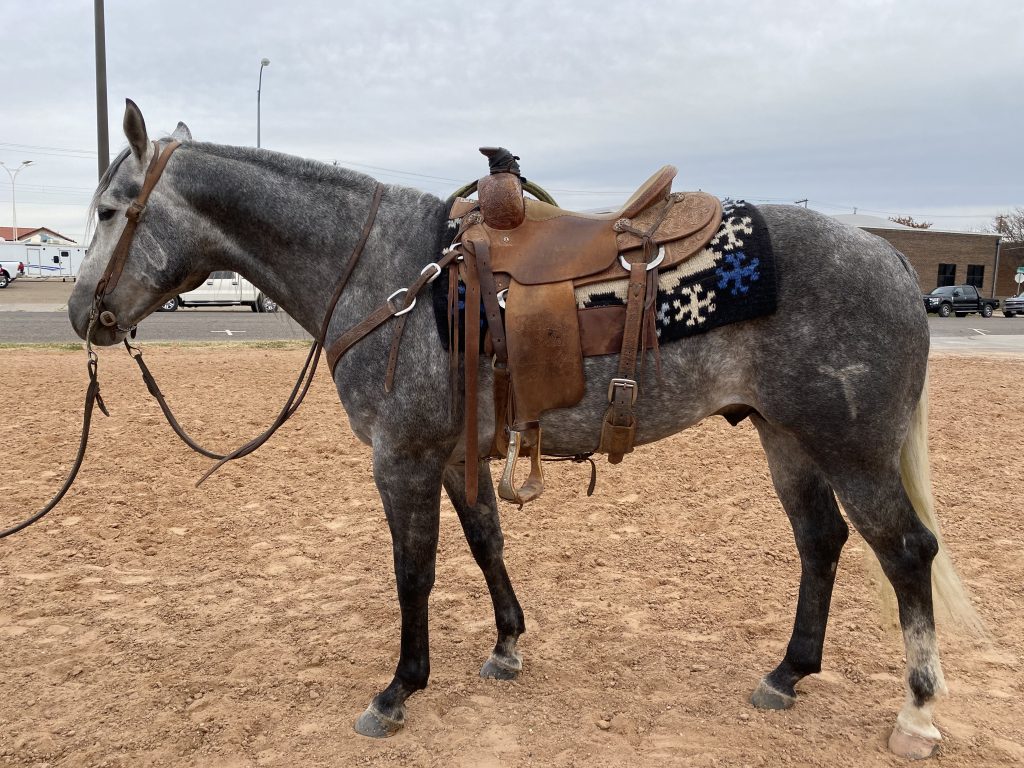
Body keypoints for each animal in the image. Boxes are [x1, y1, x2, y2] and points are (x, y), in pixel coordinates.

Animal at [68, 100, 976, 759]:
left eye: (111, 210)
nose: (82, 313)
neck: (385, 271)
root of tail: (891, 260)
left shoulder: (401, 458)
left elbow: (414, 573)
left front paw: (397, 690)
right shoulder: (453, 455)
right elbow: (485, 542)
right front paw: (507, 647)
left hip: (852, 449)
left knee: (906, 552)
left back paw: (917, 716)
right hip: (786, 438)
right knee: (821, 543)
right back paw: (787, 674)